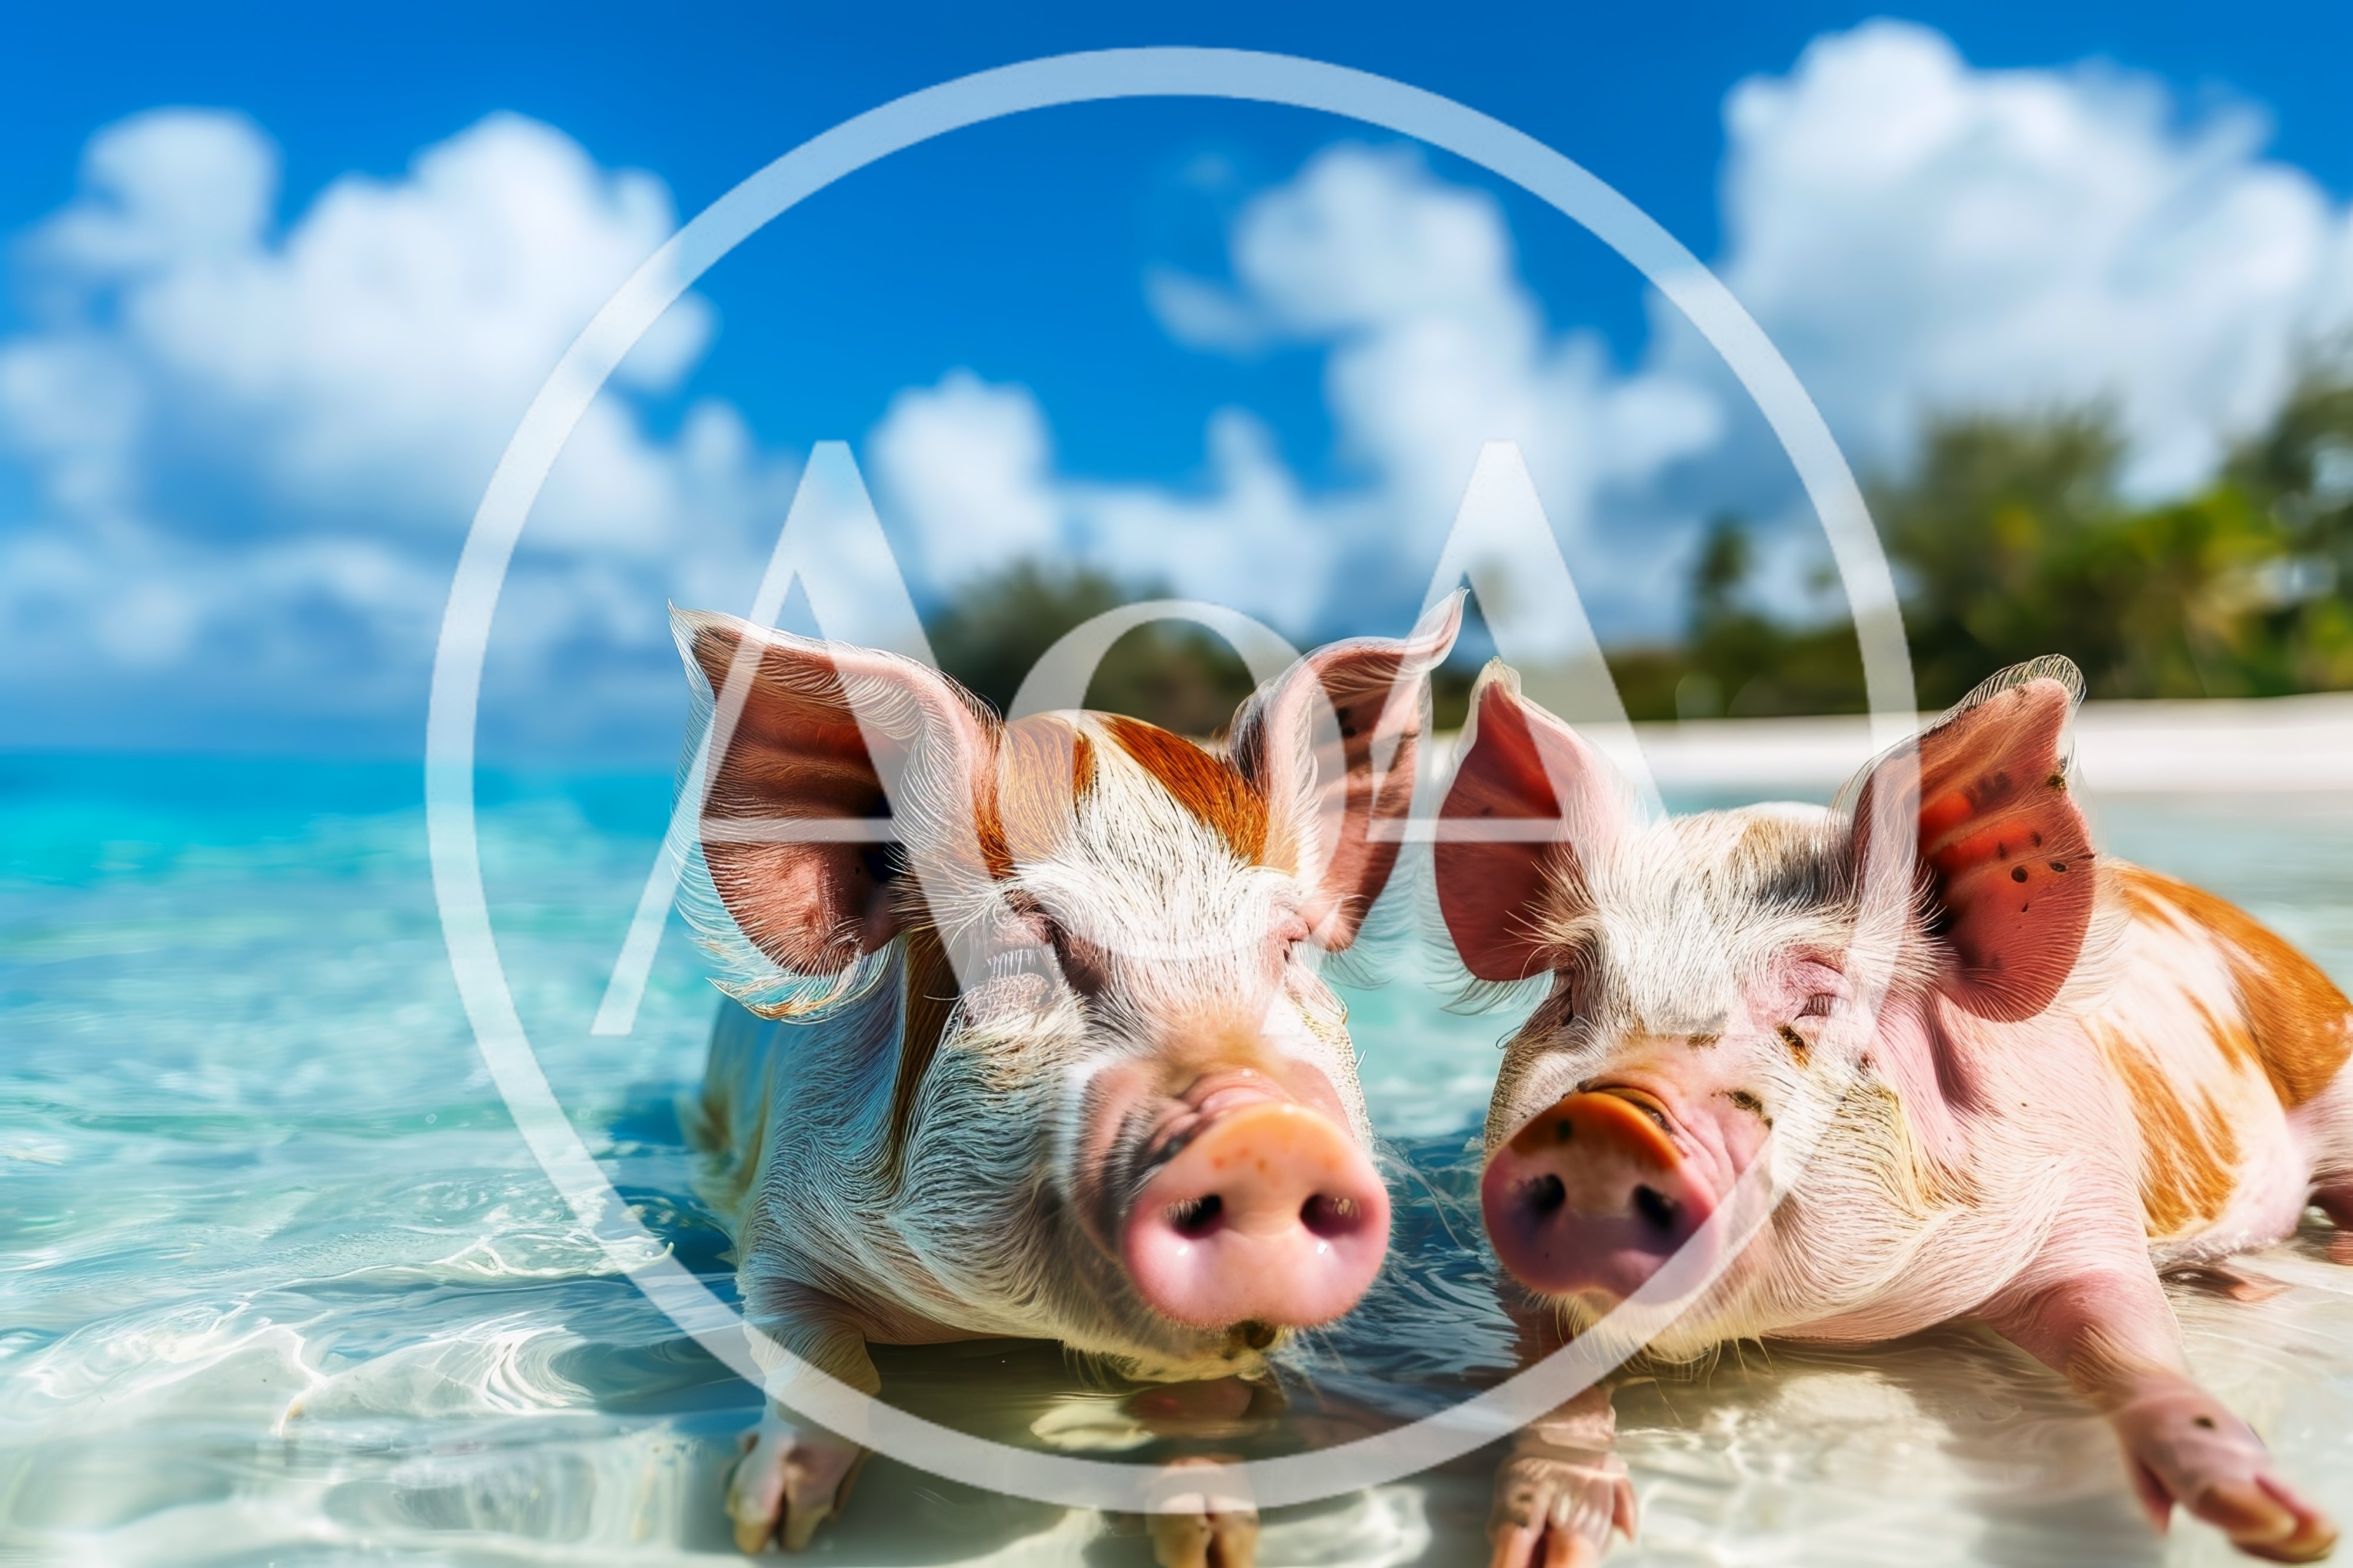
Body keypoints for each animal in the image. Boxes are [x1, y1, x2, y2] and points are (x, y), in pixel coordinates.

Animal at [669, 596, 1461, 1561]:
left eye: (1289, 944)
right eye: (1024, 950)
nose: (1262, 1131)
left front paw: (1216, 1541)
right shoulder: (778, 1222)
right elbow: (815, 1355)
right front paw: (767, 1522)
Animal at [1433, 655, 2350, 1567]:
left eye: (1821, 1002)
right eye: (1570, 990)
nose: (1604, 1120)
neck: (1845, 1325)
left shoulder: (2085, 1191)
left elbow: (2129, 1338)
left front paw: (2281, 1527)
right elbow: (1546, 1376)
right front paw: (1538, 1548)